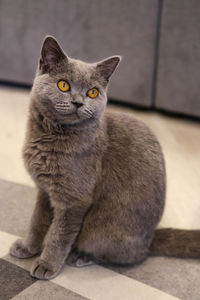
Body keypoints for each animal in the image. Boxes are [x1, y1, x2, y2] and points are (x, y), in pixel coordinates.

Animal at [9, 37, 200, 278]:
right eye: (63, 85)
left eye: (92, 92)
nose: (78, 102)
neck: (50, 137)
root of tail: (152, 237)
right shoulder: (44, 191)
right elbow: (37, 222)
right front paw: (27, 248)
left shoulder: (74, 200)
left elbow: (59, 235)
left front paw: (46, 265)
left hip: (100, 230)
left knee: (132, 256)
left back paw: (81, 256)